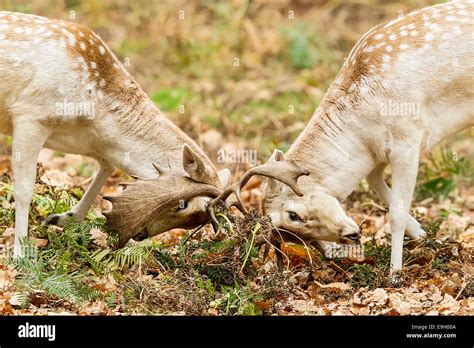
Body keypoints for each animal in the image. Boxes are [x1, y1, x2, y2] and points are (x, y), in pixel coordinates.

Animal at [262, 1, 474, 276]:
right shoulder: (378, 156)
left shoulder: (408, 137)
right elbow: (379, 186)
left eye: (292, 215)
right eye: (296, 238)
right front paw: (427, 239)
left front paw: (395, 273)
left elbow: (396, 213)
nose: (349, 237)